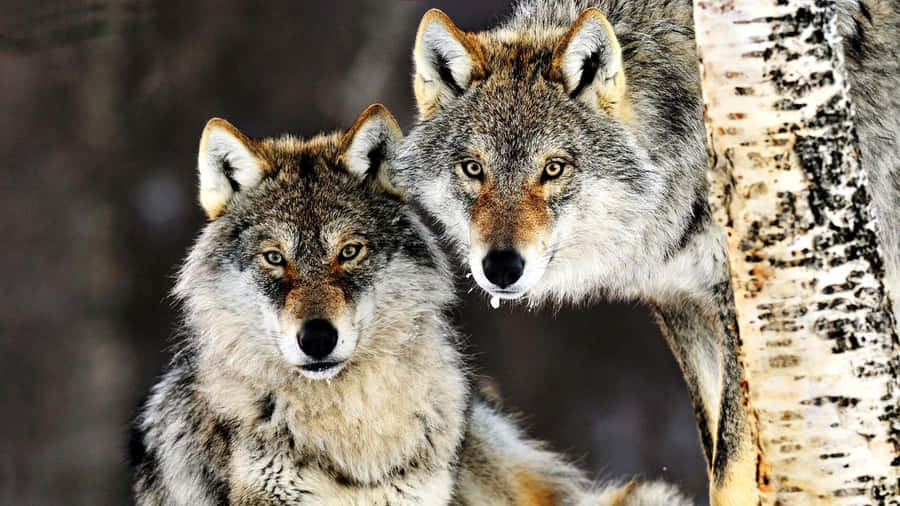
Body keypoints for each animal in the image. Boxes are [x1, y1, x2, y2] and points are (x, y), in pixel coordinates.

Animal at [395, 1, 900, 504]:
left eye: (553, 169)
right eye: (473, 169)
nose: (500, 267)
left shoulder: (740, 303)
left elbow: (730, 466)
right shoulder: (682, 303)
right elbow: (712, 444)